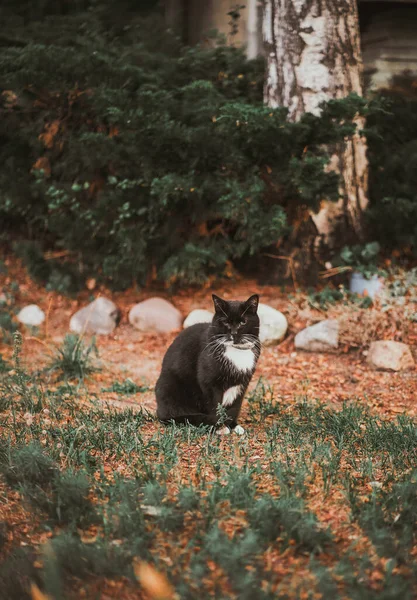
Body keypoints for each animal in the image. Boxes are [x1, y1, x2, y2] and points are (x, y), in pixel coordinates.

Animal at [155, 292, 260, 434]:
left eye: (243, 322)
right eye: (225, 322)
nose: (233, 333)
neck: (236, 350)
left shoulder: (242, 384)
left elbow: (235, 407)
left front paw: (234, 425)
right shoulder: (209, 383)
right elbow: (214, 407)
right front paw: (219, 427)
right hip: (168, 386)